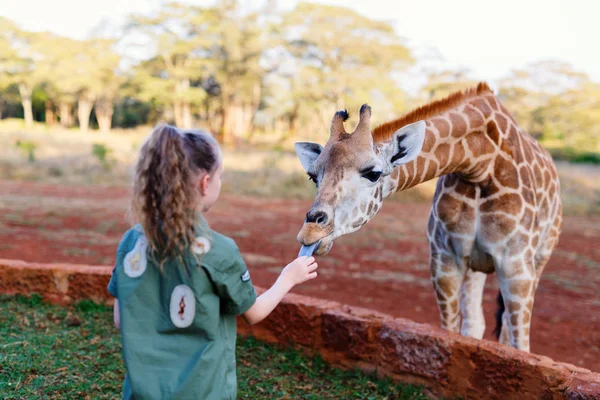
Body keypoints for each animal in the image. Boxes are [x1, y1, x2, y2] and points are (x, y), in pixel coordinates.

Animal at [296, 83, 564, 352]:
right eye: (312, 176)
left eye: (373, 173)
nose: (310, 232)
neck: (480, 165)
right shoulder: (444, 260)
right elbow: (450, 333)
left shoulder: (516, 265)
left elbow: (520, 346)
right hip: (476, 264)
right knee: (474, 322)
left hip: (540, 256)